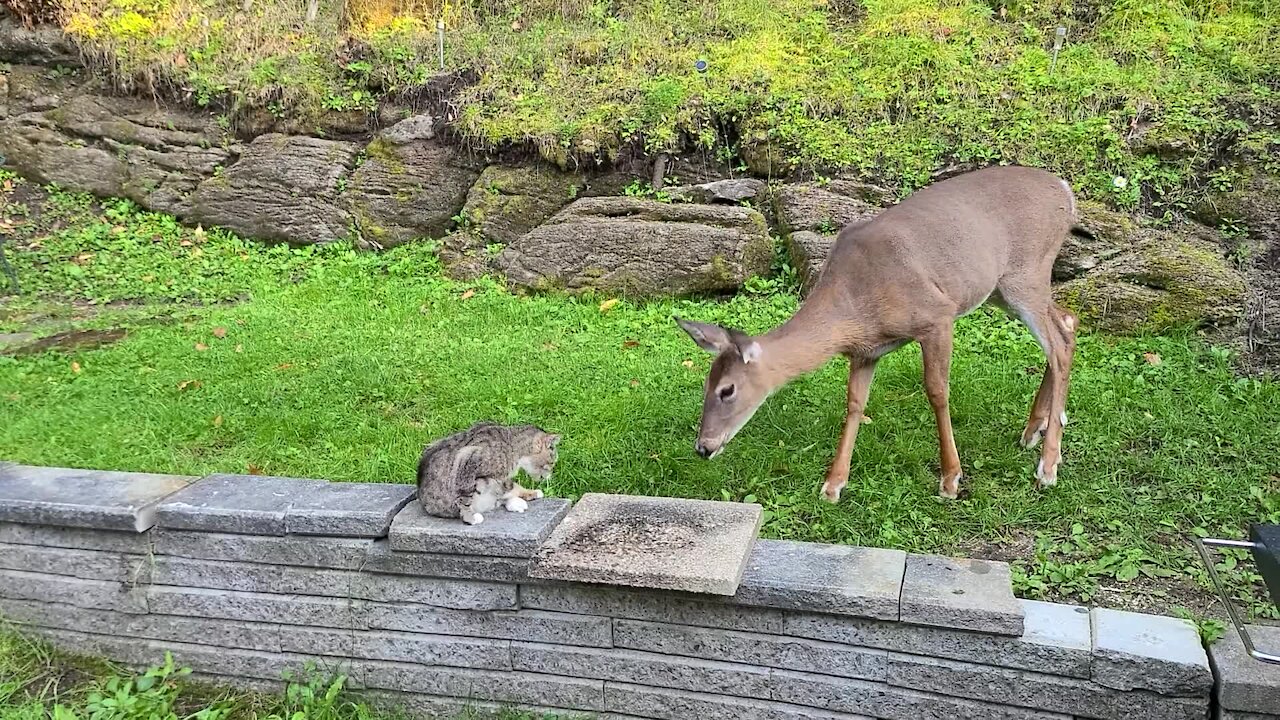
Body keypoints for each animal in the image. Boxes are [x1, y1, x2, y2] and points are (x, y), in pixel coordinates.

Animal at [670, 165, 1090, 497]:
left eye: (727, 390)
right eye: (706, 384)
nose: (703, 447)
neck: (855, 306)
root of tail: (1066, 191)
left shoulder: (936, 316)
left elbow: (937, 392)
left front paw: (951, 479)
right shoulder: (866, 351)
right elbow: (855, 403)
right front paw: (833, 484)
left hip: (1026, 271)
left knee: (1058, 343)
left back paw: (1047, 465)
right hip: (1001, 288)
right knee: (1068, 322)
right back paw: (1035, 429)